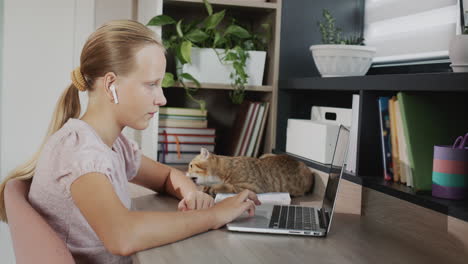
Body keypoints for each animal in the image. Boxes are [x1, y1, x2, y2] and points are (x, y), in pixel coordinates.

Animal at [186, 147, 314, 197]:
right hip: (264, 155)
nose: (186, 173)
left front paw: (214, 188)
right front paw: (206, 188)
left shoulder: (251, 187)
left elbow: (229, 186)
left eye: (191, 166)